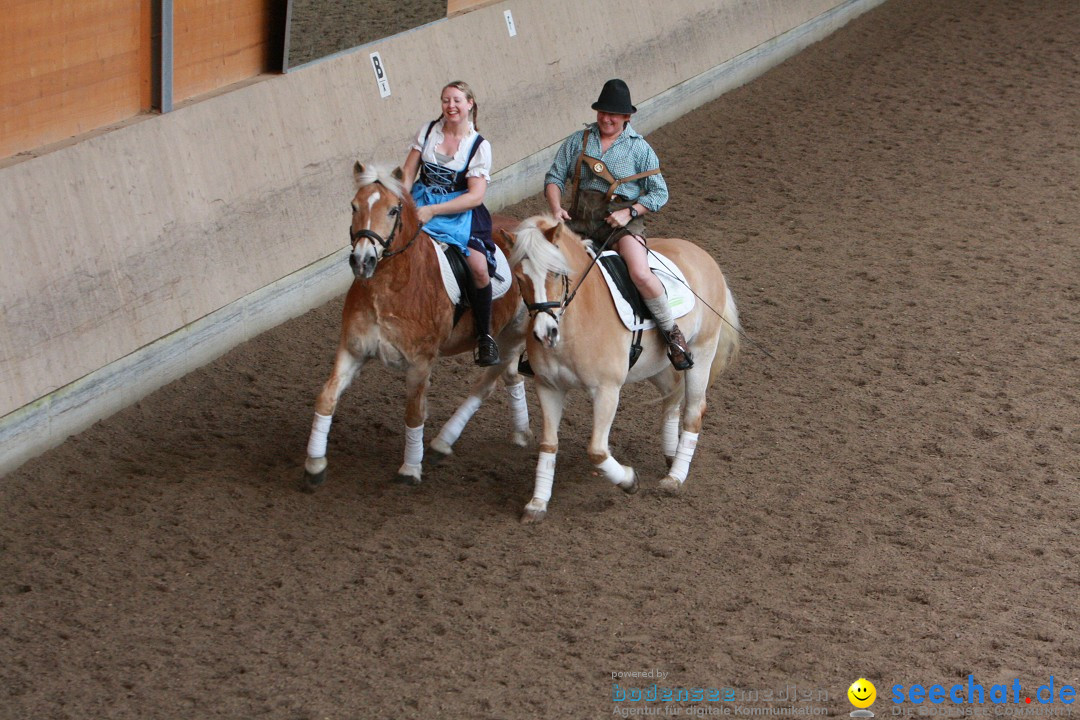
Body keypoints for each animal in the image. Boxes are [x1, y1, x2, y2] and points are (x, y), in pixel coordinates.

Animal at [304, 162, 531, 487]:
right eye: (354, 206)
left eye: (392, 211)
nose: (362, 260)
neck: (391, 286)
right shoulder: (353, 350)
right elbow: (326, 397)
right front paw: (314, 464)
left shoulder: (420, 362)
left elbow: (414, 414)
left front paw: (410, 469)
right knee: (511, 376)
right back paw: (521, 432)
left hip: (514, 335)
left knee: (486, 383)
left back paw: (442, 443)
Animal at [507, 216, 743, 520]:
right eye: (519, 277)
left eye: (556, 273)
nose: (545, 333)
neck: (577, 320)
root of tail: (703, 256)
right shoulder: (548, 387)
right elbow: (549, 444)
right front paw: (537, 503)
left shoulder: (606, 391)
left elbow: (597, 450)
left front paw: (629, 481)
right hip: (656, 366)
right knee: (671, 399)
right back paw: (671, 456)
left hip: (702, 352)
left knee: (693, 411)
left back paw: (674, 478)